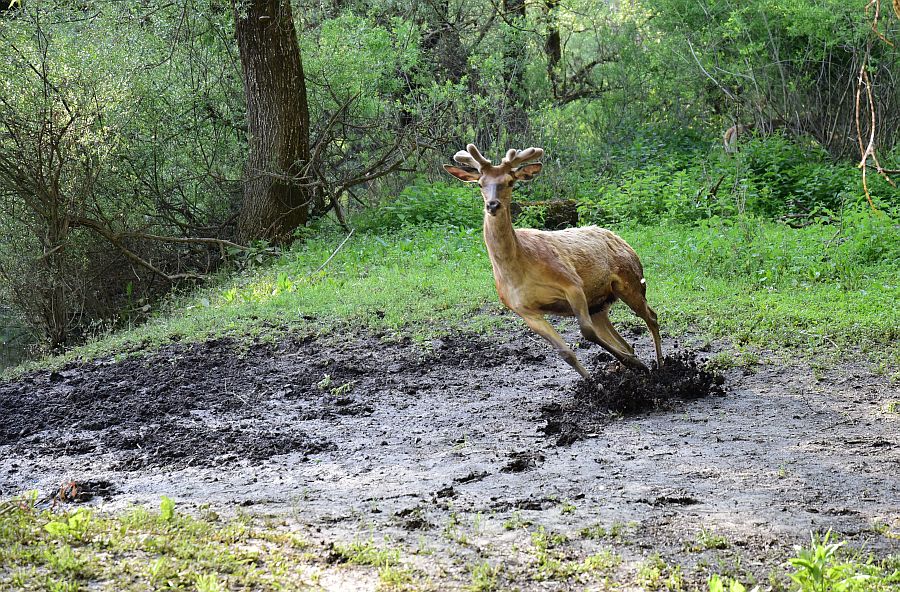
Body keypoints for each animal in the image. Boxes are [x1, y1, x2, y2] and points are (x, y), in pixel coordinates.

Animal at [442, 142, 660, 380]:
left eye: (510, 181)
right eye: (480, 183)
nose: (492, 205)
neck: (518, 272)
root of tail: (623, 241)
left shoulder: (572, 283)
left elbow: (587, 332)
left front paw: (637, 365)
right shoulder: (523, 309)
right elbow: (565, 352)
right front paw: (594, 382)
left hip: (631, 281)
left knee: (651, 317)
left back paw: (660, 365)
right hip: (599, 304)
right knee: (624, 339)